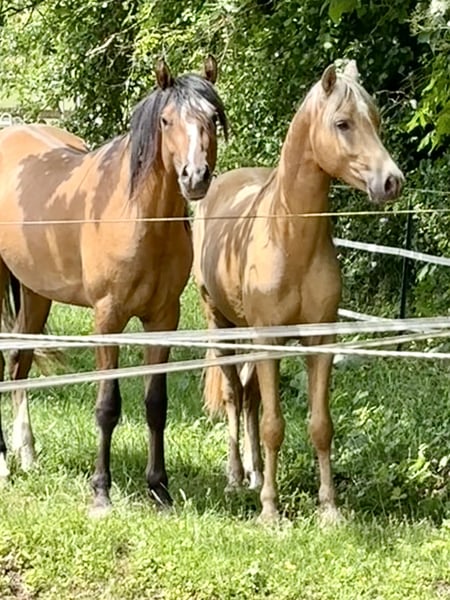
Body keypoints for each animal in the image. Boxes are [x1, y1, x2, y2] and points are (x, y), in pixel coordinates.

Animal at [0, 55, 227, 513]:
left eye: (212, 117)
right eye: (166, 120)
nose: (195, 177)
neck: (138, 216)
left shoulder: (163, 320)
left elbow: (155, 404)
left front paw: (159, 489)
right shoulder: (108, 319)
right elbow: (108, 406)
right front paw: (101, 491)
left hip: (35, 293)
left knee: (19, 361)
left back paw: (27, 454)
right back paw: (3, 465)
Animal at [192, 61, 403, 522]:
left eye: (376, 121)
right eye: (343, 123)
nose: (391, 182)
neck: (288, 235)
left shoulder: (319, 340)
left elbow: (320, 425)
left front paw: (329, 509)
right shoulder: (268, 339)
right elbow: (274, 425)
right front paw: (271, 511)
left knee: (251, 397)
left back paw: (255, 474)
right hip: (220, 323)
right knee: (235, 396)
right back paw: (236, 478)